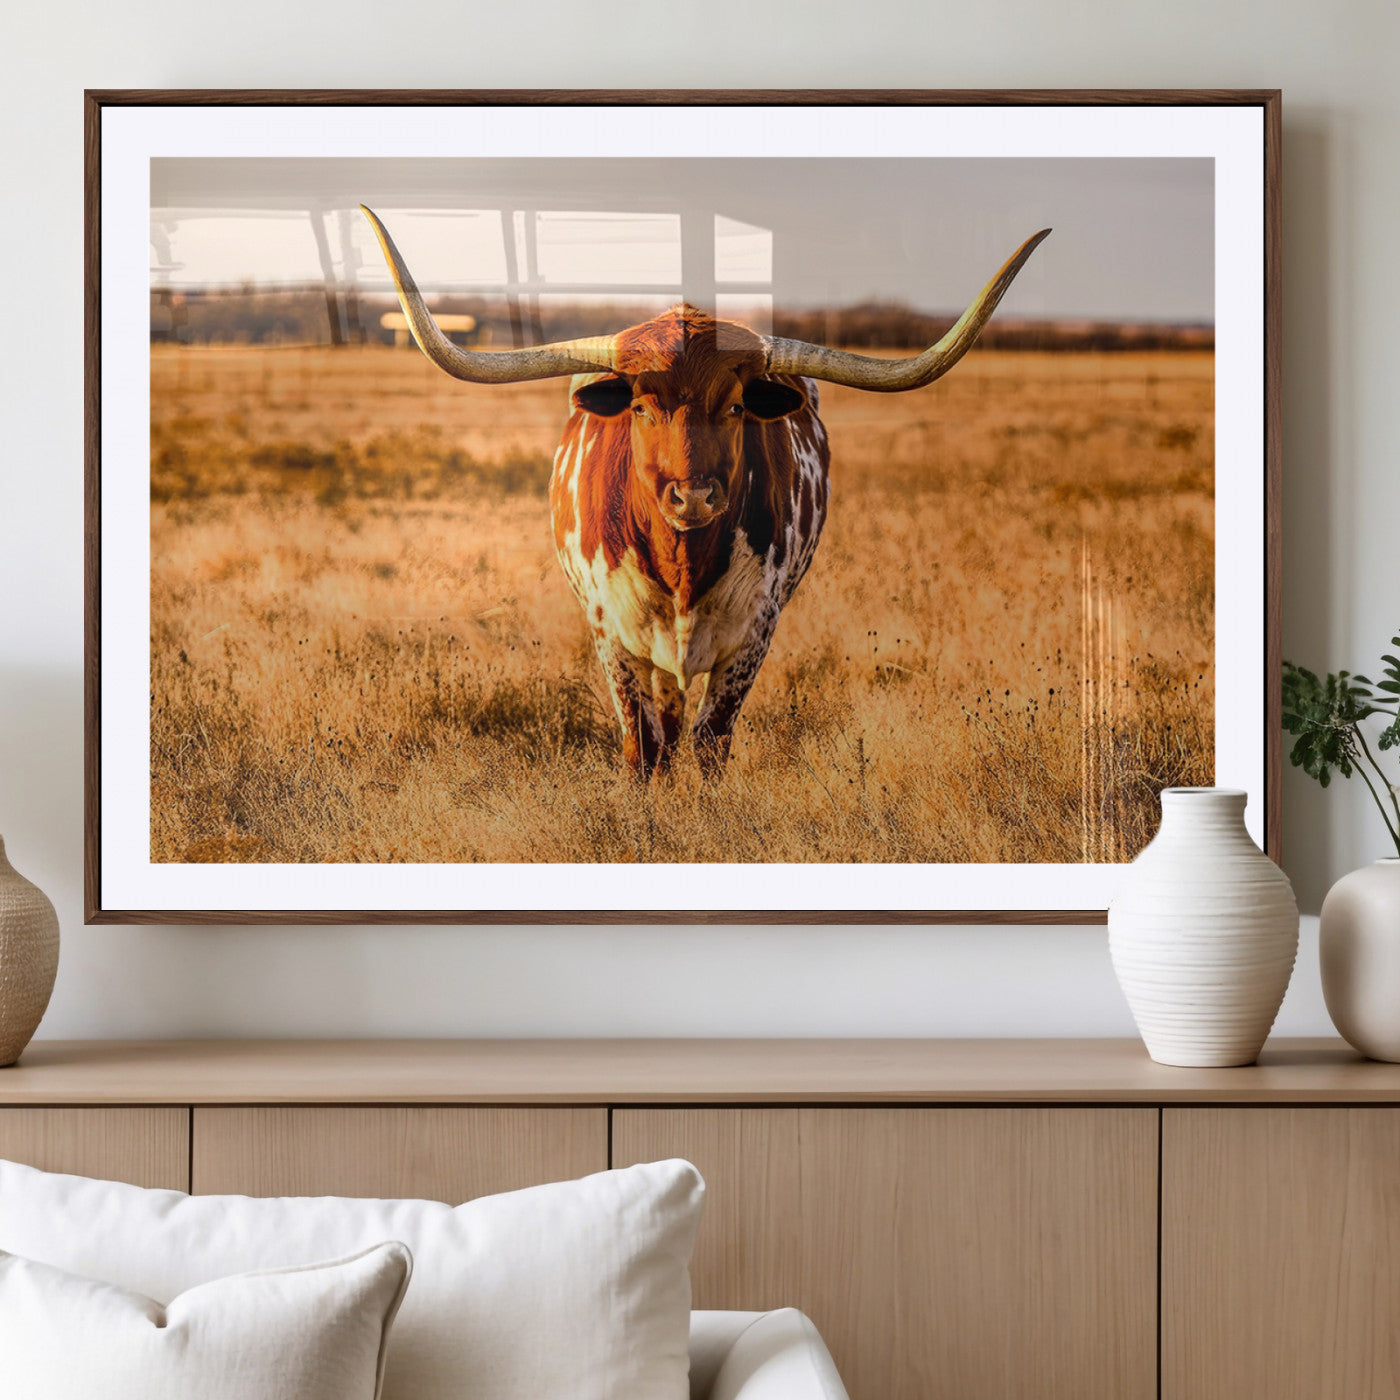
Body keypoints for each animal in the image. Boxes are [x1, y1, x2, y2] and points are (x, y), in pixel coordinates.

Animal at [362, 207, 1048, 780]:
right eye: (640, 407)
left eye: (738, 406)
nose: (692, 498)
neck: (684, 564)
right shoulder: (613, 637)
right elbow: (643, 746)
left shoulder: (752, 635)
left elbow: (711, 741)